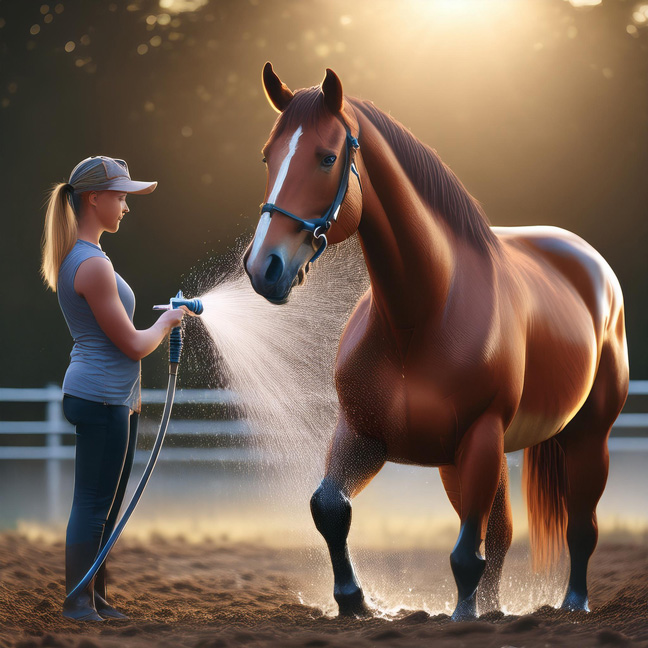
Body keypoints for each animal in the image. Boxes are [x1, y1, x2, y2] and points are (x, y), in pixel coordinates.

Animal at [243, 62, 629, 621]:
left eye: (327, 157)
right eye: (268, 156)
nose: (263, 268)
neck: (420, 318)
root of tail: (589, 260)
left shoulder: (480, 435)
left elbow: (466, 551)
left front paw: (461, 617)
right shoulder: (362, 433)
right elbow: (329, 507)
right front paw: (355, 601)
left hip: (584, 437)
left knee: (579, 527)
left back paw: (572, 604)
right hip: (466, 461)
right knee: (503, 533)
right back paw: (496, 609)